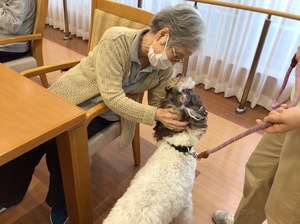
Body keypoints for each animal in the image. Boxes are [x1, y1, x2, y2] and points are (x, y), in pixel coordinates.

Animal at [102, 75, 206, 224]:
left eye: (170, 93)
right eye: (184, 91)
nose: (179, 75)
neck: (176, 147)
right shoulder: (185, 203)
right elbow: (186, 217)